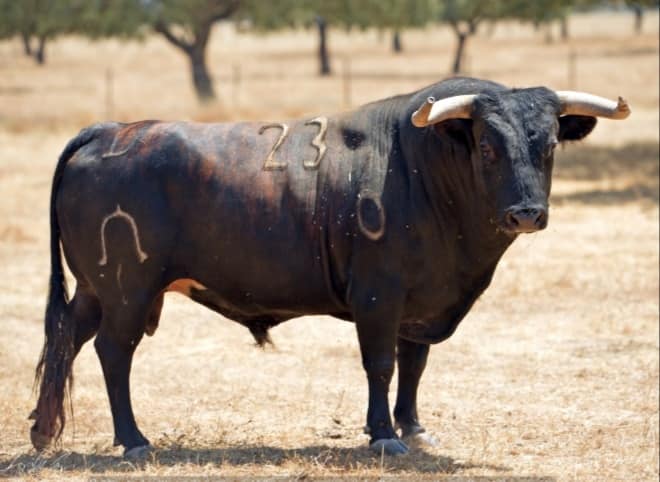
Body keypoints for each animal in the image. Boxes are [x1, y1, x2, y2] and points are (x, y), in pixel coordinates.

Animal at [30, 77, 630, 457]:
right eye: (486, 146)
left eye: (549, 144)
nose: (526, 213)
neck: (427, 171)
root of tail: (110, 130)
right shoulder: (378, 297)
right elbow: (381, 365)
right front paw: (384, 434)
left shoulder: (420, 303)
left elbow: (414, 367)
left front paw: (414, 428)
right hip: (127, 290)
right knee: (113, 351)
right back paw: (132, 439)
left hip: (93, 289)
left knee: (65, 339)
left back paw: (42, 430)